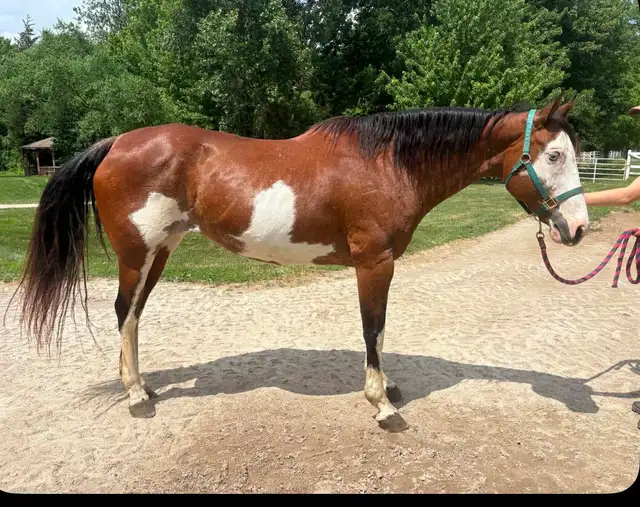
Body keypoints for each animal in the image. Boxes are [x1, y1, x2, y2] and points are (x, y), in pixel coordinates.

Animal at [13, 97, 589, 432]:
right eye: (554, 155)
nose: (579, 228)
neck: (388, 163)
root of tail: (116, 143)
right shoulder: (374, 263)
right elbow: (373, 328)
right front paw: (382, 404)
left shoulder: (380, 265)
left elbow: (381, 329)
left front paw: (389, 388)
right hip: (137, 253)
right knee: (123, 313)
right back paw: (136, 396)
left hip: (160, 251)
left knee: (132, 315)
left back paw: (144, 387)